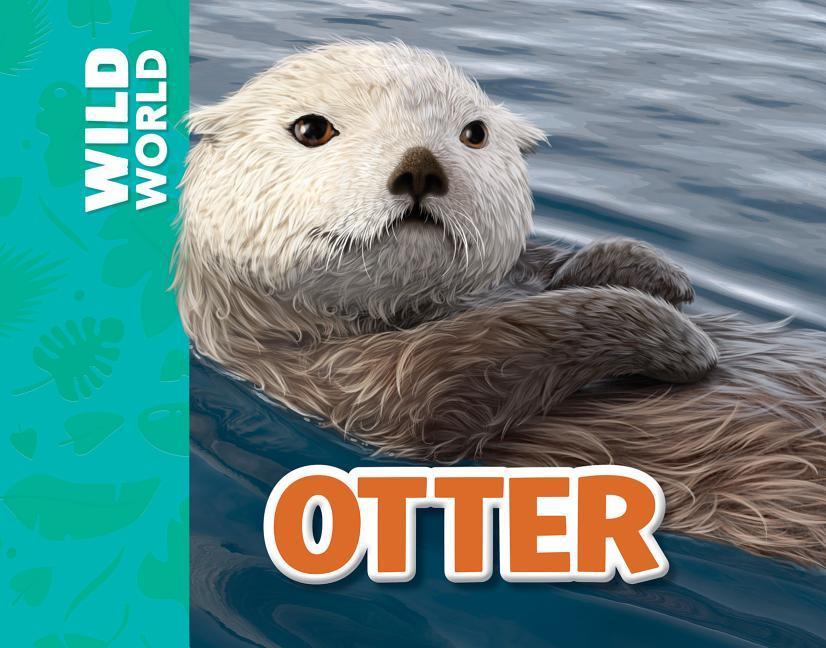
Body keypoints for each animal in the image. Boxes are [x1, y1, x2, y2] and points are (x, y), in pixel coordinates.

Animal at [178, 42, 826, 566]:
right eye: (311, 129)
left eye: (475, 132)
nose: (420, 167)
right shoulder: (340, 383)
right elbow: (475, 357)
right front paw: (681, 339)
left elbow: (562, 278)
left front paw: (660, 274)